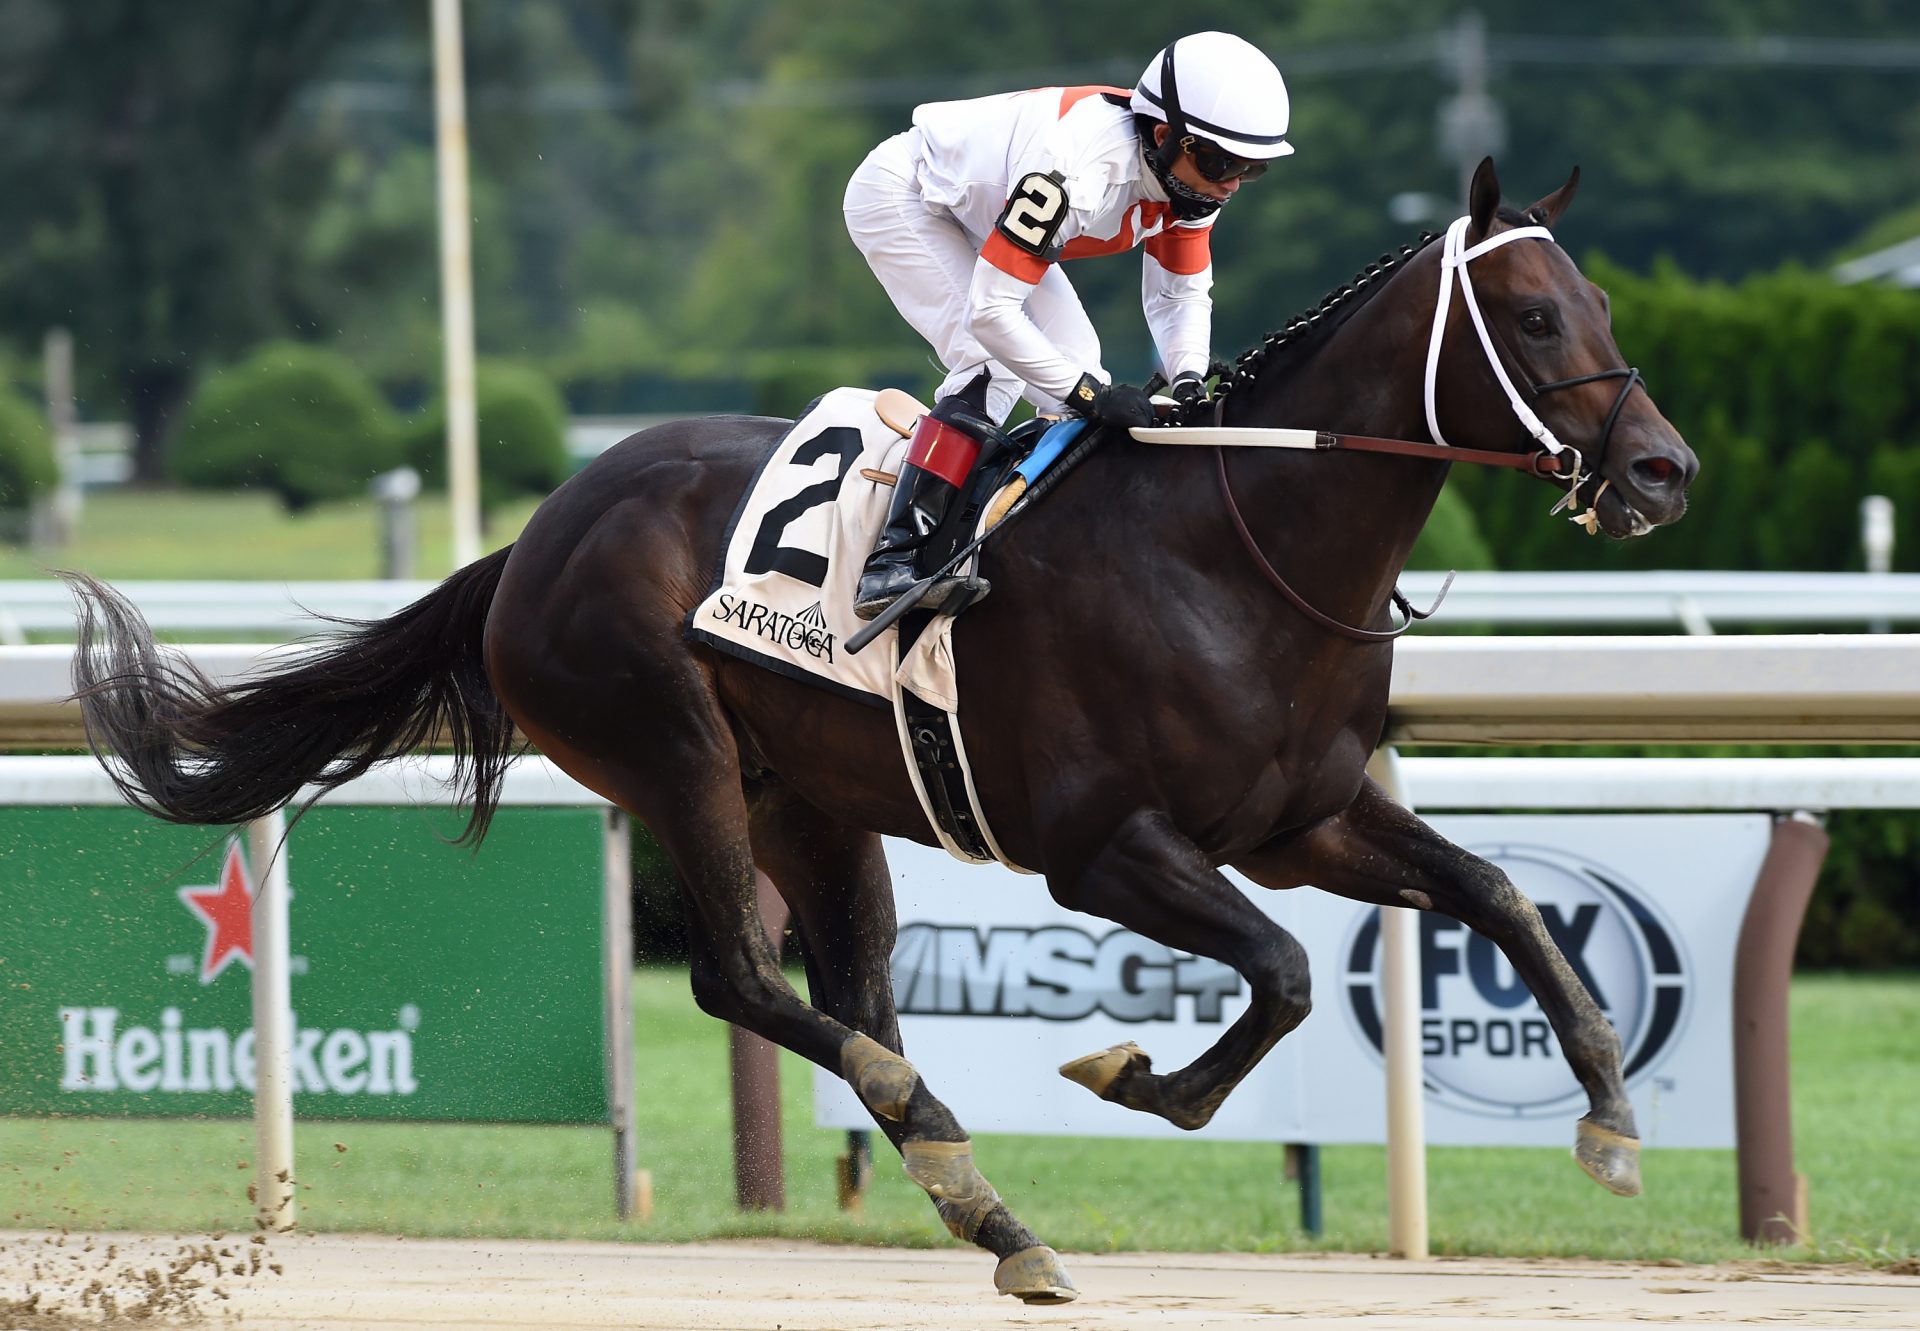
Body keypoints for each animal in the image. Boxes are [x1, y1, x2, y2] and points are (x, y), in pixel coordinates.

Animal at [71, 163, 1697, 1298]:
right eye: (1535, 317)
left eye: (1611, 312)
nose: (1663, 471)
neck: (1233, 547)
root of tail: (534, 534)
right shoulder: (1105, 848)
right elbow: (1290, 974)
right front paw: (1139, 1077)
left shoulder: (1306, 818)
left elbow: (1492, 893)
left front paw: (1614, 1118)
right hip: (674, 752)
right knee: (745, 979)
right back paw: (938, 1127)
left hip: (817, 798)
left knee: (851, 993)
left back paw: (991, 1210)